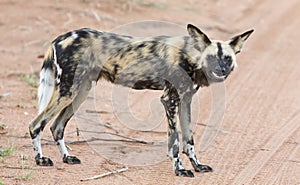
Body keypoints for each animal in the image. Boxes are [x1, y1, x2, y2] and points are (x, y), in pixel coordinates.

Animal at [29, 23, 253, 177]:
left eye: (227, 58)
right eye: (211, 58)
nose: (221, 70)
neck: (190, 57)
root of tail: (60, 37)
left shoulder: (185, 100)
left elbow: (189, 140)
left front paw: (197, 166)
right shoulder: (170, 100)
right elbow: (175, 141)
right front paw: (179, 169)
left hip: (80, 92)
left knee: (56, 126)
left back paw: (66, 157)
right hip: (68, 92)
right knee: (35, 124)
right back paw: (40, 159)